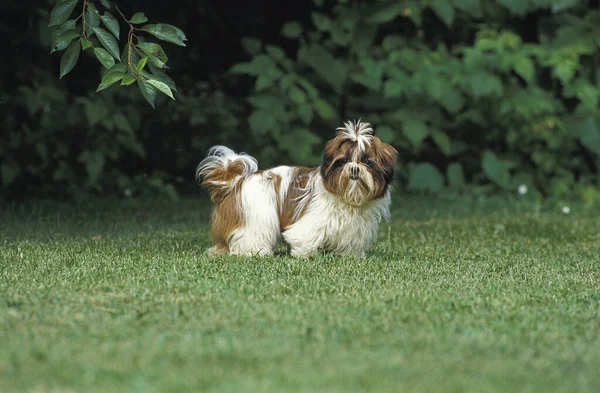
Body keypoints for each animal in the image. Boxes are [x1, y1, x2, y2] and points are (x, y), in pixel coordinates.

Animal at [197, 119, 398, 258]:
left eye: (368, 162)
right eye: (343, 161)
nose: (354, 168)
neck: (347, 199)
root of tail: (236, 181)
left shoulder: (354, 227)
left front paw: (349, 255)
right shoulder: (313, 219)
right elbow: (304, 236)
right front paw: (304, 254)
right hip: (255, 216)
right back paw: (253, 251)